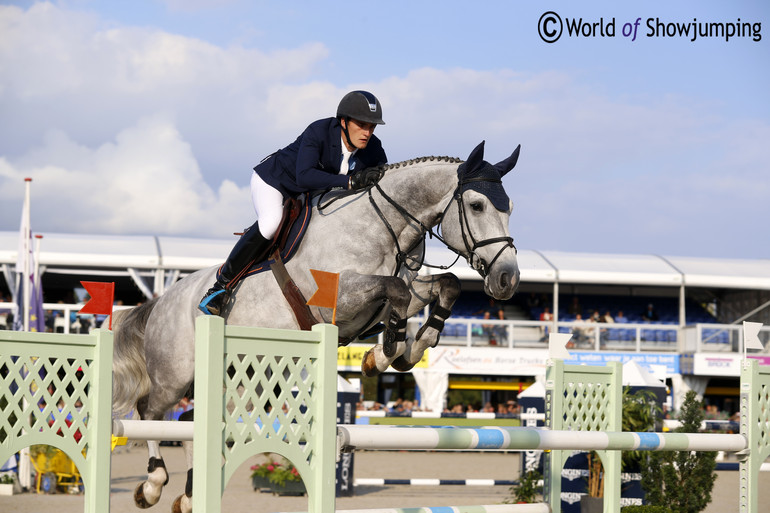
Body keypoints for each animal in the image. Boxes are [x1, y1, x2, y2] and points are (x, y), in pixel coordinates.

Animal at [109, 140, 520, 512]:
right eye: (477, 205)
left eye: (510, 208)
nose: (507, 279)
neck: (382, 228)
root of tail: (161, 300)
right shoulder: (339, 298)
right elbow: (398, 290)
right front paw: (386, 352)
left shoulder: (389, 297)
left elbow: (443, 286)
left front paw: (403, 350)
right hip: (173, 376)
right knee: (150, 412)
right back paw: (152, 485)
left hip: (244, 379)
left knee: (191, 421)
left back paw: (190, 495)